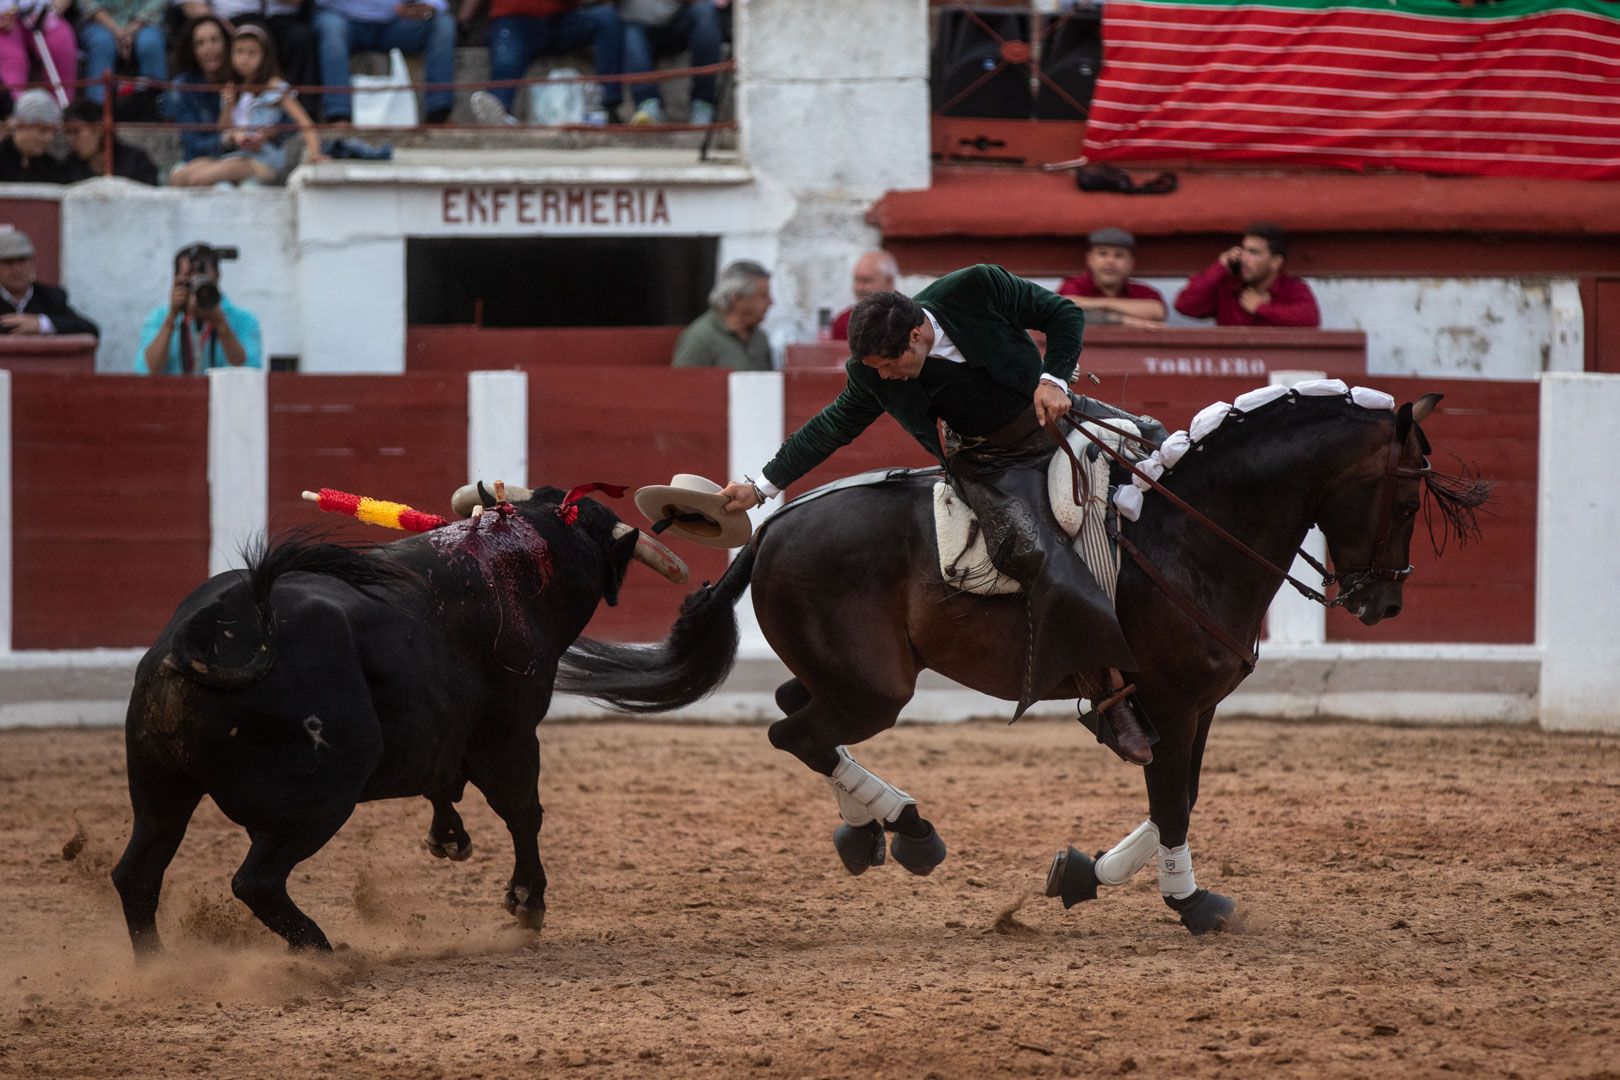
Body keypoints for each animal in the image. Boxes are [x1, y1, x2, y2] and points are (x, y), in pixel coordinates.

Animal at [112, 488, 696, 952]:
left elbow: (441, 778)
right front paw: (528, 902)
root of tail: (215, 628)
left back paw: (155, 966)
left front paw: (450, 838)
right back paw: (322, 952)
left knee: (138, 873)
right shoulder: (510, 734)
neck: (523, 558)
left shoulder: (437, 728)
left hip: (160, 786)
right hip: (320, 799)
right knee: (256, 882)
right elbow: (524, 812)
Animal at [560, 390, 1490, 939]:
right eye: (1407, 496)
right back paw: (908, 829)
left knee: (798, 713)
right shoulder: (1173, 702)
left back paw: (869, 830)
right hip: (877, 689)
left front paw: (1083, 873)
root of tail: (773, 529)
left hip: (854, 676)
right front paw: (1189, 903)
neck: (1188, 531)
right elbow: (1172, 799)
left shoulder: (1200, 705)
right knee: (794, 732)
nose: (1381, 605)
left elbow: (1181, 796)